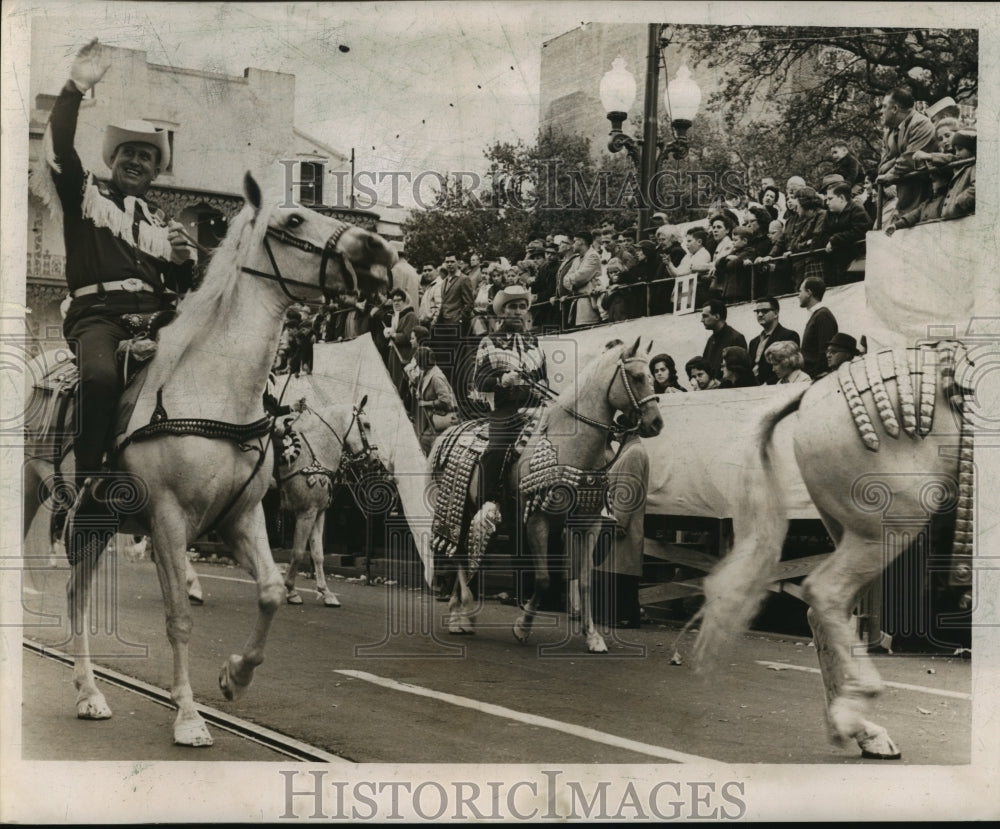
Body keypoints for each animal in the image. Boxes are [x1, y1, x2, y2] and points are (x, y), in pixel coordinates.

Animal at [22, 173, 394, 744]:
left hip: (96, 521)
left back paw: (89, 693)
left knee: (75, 594)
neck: (215, 391)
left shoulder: (241, 516)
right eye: (294, 219)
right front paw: (190, 716)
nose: (378, 248)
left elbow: (270, 589)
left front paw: (234, 677)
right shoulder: (169, 518)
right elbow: (178, 618)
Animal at [430, 340, 664, 652]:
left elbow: (585, 582)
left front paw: (593, 636)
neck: (571, 444)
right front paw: (523, 627)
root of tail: (450, 432)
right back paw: (461, 614)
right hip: (463, 506)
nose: (656, 423)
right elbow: (543, 579)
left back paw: (461, 613)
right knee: (457, 550)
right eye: (637, 377)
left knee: (468, 551)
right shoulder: (537, 520)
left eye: (652, 377)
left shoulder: (588, 523)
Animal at [692, 344, 980, 764]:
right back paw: (855, 707)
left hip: (855, 535)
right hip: (886, 530)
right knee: (826, 593)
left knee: (827, 612)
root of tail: (814, 389)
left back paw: (861, 729)